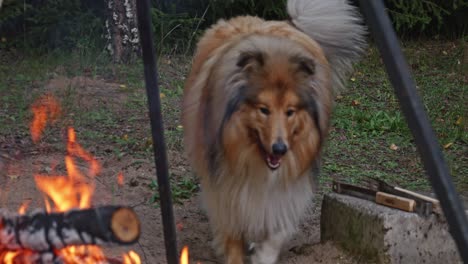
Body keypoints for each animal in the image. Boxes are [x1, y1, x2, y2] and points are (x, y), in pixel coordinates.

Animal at [181, 0, 368, 264]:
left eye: (290, 111)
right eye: (263, 109)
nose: (280, 149)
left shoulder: (285, 188)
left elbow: (275, 231)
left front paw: (262, 254)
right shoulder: (225, 189)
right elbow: (232, 234)